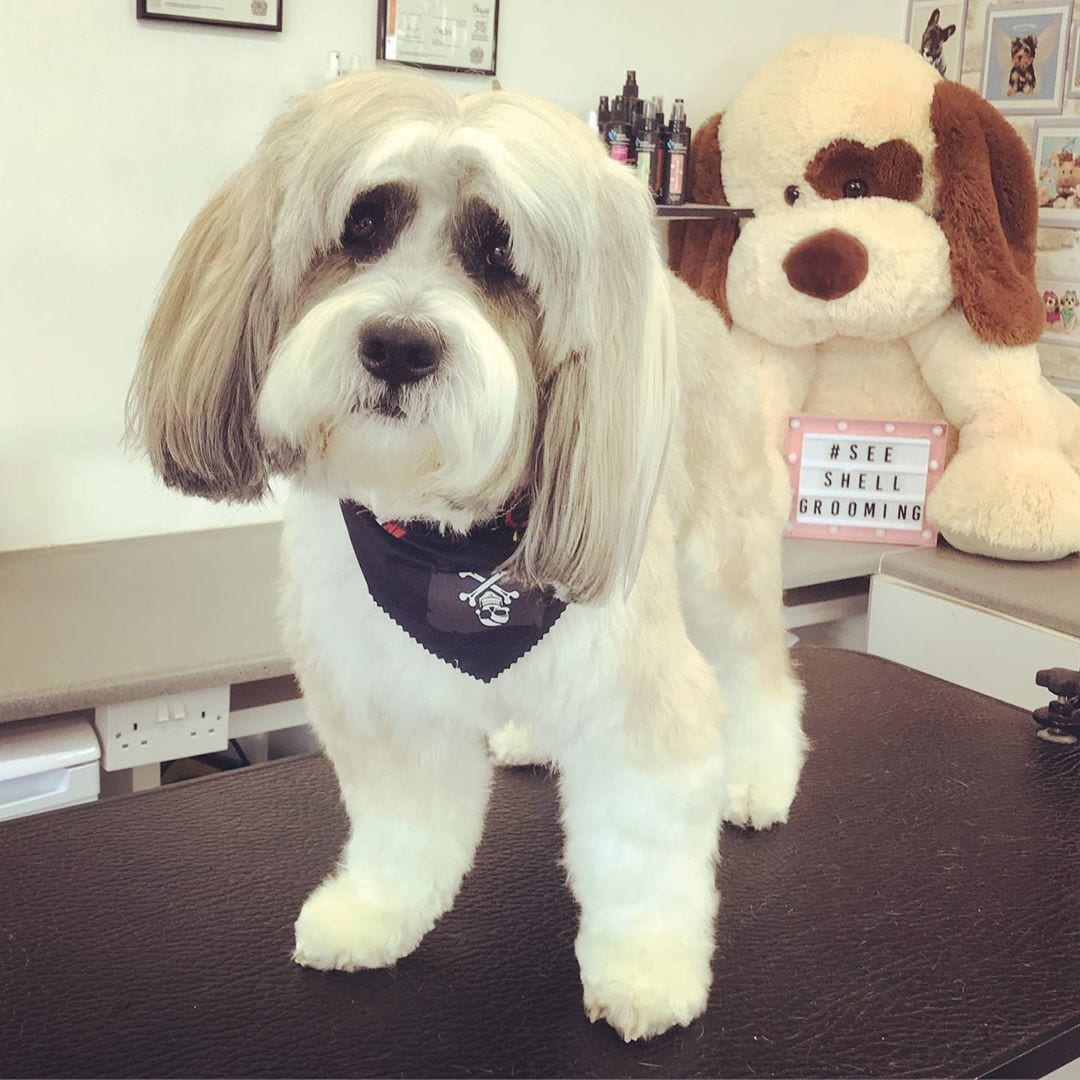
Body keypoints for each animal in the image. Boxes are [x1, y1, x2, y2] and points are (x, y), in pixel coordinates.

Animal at [128, 71, 803, 1041]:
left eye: (500, 255)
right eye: (361, 226)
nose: (398, 345)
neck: (449, 548)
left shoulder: (635, 697)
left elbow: (640, 850)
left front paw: (644, 970)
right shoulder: (382, 699)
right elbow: (405, 826)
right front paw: (373, 913)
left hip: (723, 561)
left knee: (759, 674)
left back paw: (756, 778)